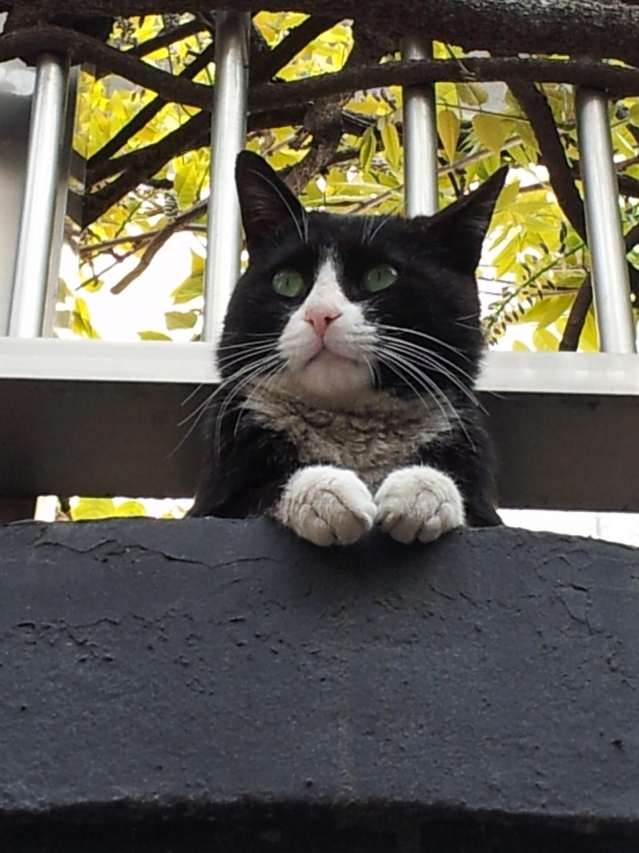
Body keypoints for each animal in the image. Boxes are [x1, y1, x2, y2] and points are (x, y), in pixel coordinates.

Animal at [190, 150, 507, 546]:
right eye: (286, 281)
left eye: (380, 276)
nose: (320, 315)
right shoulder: (212, 506)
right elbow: (260, 496)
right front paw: (328, 492)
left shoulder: (487, 512)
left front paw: (420, 490)